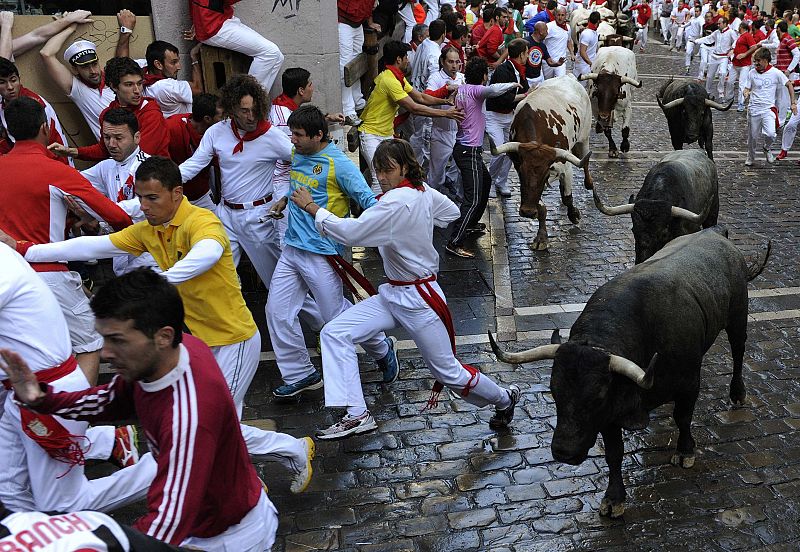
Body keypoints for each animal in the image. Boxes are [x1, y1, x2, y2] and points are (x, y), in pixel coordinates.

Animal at [488, 75, 592, 252]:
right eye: (521, 172)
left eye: (545, 174)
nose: (527, 212)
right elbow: (541, 206)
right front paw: (541, 237)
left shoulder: (565, 166)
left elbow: (567, 198)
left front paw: (574, 215)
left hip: (584, 138)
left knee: (584, 160)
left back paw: (589, 182)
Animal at [490, 227, 772, 516]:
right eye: (554, 393)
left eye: (597, 397)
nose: (563, 452)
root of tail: (714, 231)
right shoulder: (609, 415)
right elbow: (614, 453)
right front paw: (614, 498)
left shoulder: (689, 382)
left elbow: (683, 418)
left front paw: (685, 451)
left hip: (738, 317)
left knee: (738, 351)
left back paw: (737, 393)